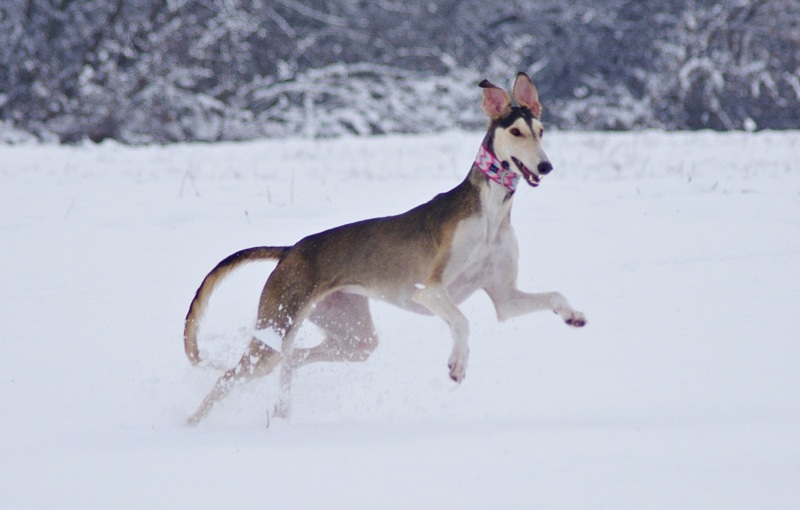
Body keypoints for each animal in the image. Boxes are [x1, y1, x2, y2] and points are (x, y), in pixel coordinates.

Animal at [186, 70, 588, 422]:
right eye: (516, 131)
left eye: (541, 131)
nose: (546, 166)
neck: (490, 212)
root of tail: (290, 250)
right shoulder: (429, 290)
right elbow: (461, 320)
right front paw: (458, 363)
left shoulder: (504, 296)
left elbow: (551, 296)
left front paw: (573, 315)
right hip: (278, 326)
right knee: (229, 377)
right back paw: (191, 424)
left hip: (353, 336)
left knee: (295, 358)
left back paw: (283, 411)